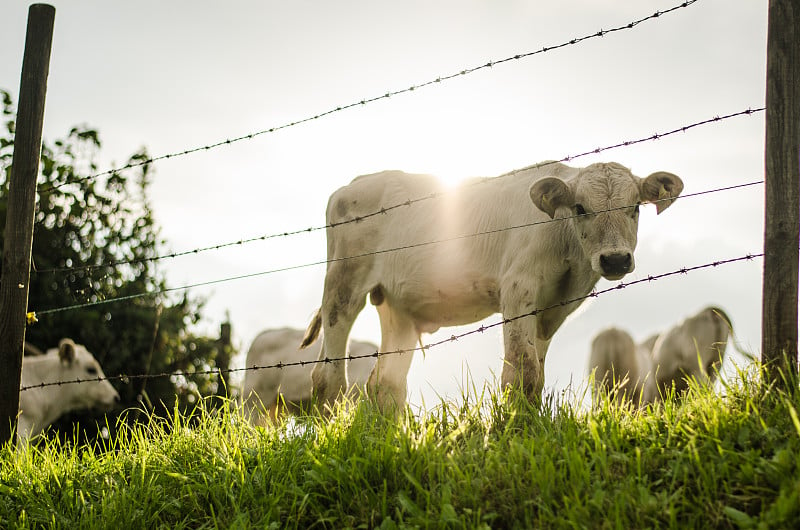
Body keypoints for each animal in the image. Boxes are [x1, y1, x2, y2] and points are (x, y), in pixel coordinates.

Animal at [300, 159, 680, 406]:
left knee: (386, 384)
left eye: (636, 207)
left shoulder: (551, 307)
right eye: (580, 207)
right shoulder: (517, 289)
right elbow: (522, 372)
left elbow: (537, 376)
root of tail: (353, 185)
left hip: (398, 307)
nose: (615, 259)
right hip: (343, 285)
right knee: (327, 376)